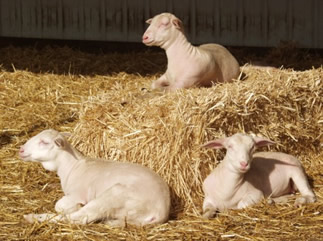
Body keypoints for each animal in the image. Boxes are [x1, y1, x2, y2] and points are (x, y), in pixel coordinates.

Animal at [19, 130, 172, 226]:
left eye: (44, 142)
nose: (21, 150)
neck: (71, 167)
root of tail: (160, 212)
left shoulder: (77, 194)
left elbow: (59, 206)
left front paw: (74, 206)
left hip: (113, 196)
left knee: (80, 218)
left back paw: (32, 217)